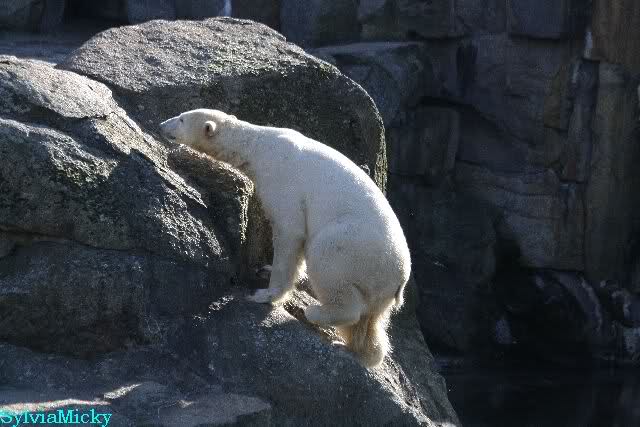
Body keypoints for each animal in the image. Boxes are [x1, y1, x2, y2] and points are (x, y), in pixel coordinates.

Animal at [159, 109, 411, 367]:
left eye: (181, 119)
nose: (161, 126)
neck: (259, 145)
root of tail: (400, 278)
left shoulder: (283, 180)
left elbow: (290, 231)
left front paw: (264, 294)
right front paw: (266, 269)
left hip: (354, 249)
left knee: (328, 264)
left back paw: (317, 313)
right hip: (378, 286)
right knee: (371, 322)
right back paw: (357, 350)